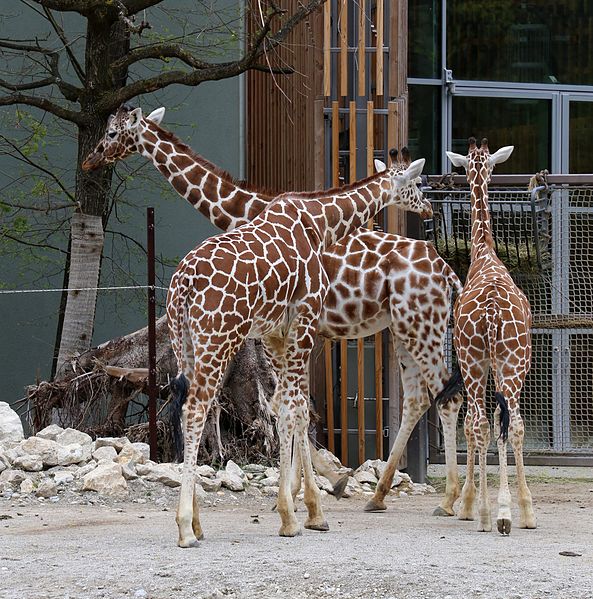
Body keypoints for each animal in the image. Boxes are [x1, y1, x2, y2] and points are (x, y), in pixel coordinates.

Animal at [83, 103, 462, 516]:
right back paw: (384, 495)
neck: (246, 209)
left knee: (446, 394)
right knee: (419, 398)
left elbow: (295, 406)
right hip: (402, 329)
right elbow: (289, 405)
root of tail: (445, 268)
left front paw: (314, 486)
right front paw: (308, 487)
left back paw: (453, 500)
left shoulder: (295, 327)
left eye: (112, 134)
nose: (90, 160)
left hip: (421, 326)